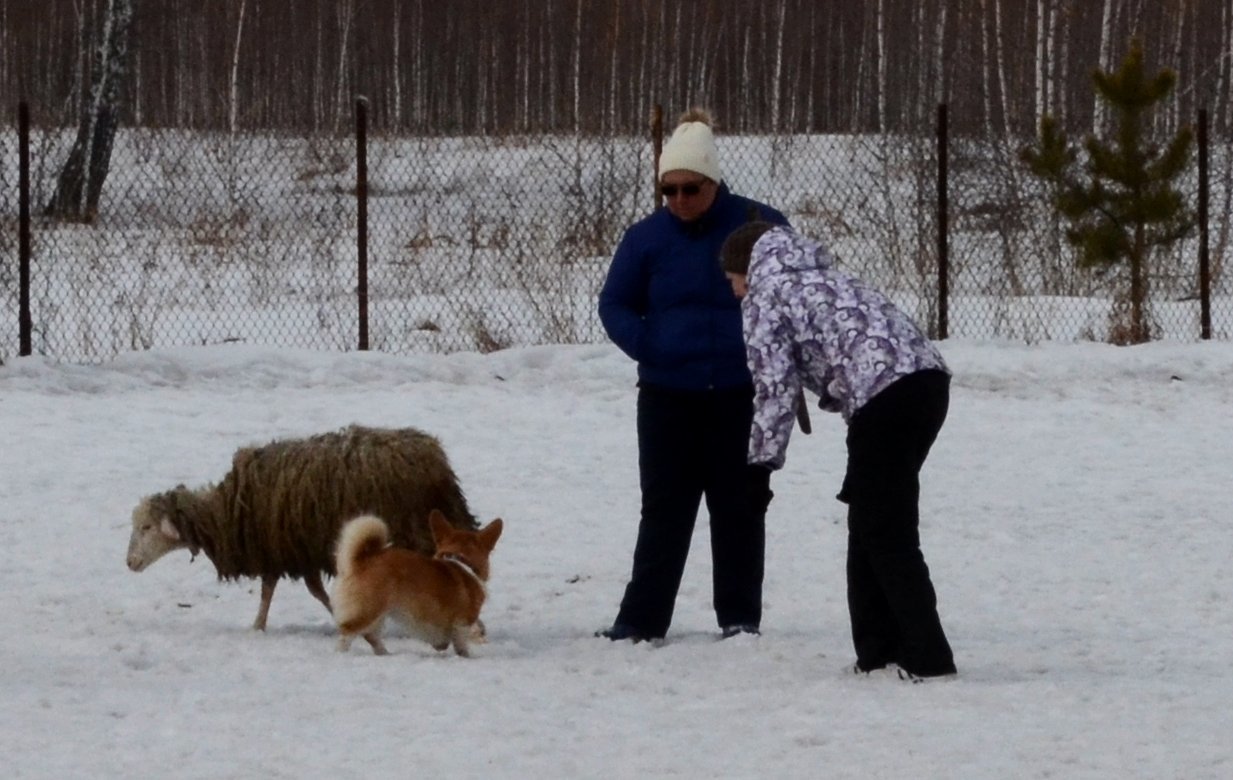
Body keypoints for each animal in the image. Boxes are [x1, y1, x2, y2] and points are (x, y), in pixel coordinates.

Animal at [125, 423, 478, 630]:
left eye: (146, 527)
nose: (129, 563)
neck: (223, 512)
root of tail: (436, 459)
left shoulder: (278, 547)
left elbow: (275, 590)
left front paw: (258, 626)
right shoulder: (295, 549)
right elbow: (306, 590)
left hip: (414, 528)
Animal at [330, 507, 503, 655]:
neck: (461, 559)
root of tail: (360, 561)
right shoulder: (463, 623)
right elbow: (463, 645)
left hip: (380, 613)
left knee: (371, 636)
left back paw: (385, 654)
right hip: (369, 610)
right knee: (347, 634)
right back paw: (341, 654)